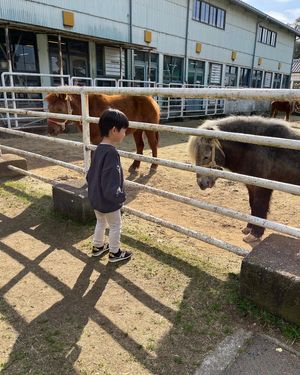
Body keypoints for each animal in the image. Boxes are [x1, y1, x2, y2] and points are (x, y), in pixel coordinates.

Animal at [189, 115, 298, 244]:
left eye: (206, 156)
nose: (201, 183)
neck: (255, 146)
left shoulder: (263, 187)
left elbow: (260, 207)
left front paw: (255, 234)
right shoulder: (251, 185)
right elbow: (252, 205)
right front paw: (249, 228)